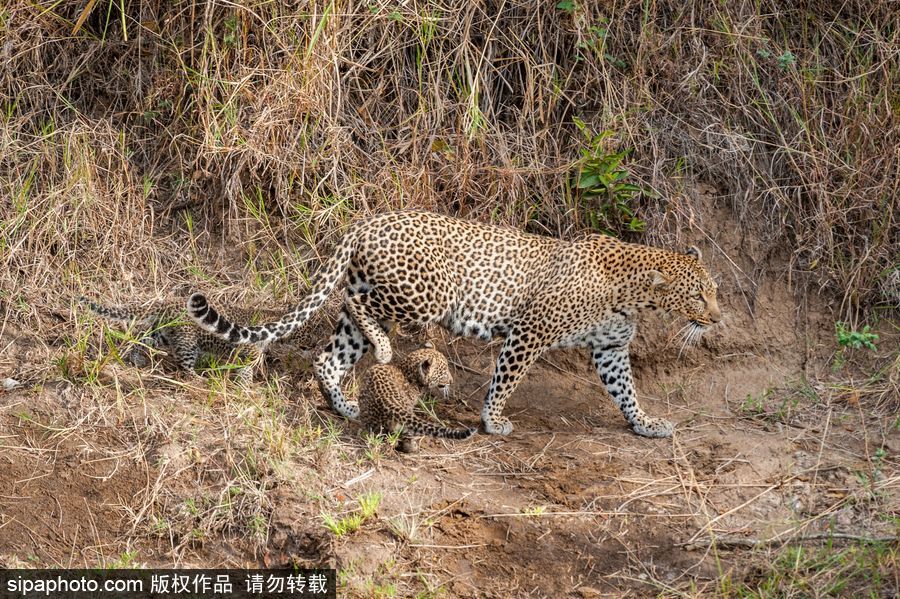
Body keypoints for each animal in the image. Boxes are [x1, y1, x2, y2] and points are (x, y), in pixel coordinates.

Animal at [186, 211, 720, 436]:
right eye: (698, 294)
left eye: (713, 290)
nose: (717, 317)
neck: (632, 297)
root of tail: (367, 221)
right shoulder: (530, 332)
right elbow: (506, 379)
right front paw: (494, 420)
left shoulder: (610, 349)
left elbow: (625, 390)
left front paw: (646, 423)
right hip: (427, 294)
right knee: (356, 305)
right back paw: (383, 350)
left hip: (380, 304)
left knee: (328, 356)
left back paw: (348, 407)